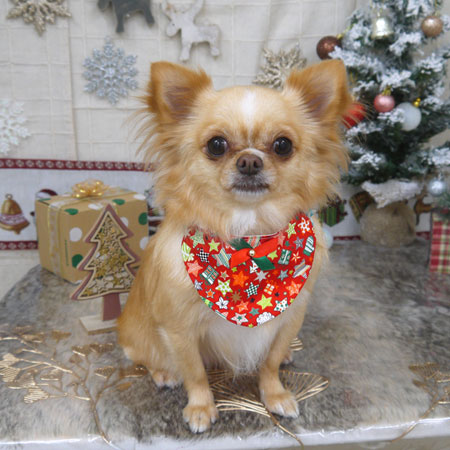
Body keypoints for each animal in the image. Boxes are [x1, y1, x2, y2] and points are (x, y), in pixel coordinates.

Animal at [118, 59, 352, 433]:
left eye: (283, 145)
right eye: (216, 144)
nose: (250, 161)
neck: (251, 241)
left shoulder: (289, 319)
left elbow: (270, 362)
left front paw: (275, 394)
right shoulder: (179, 329)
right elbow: (195, 373)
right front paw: (201, 407)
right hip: (139, 339)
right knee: (147, 356)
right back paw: (164, 373)